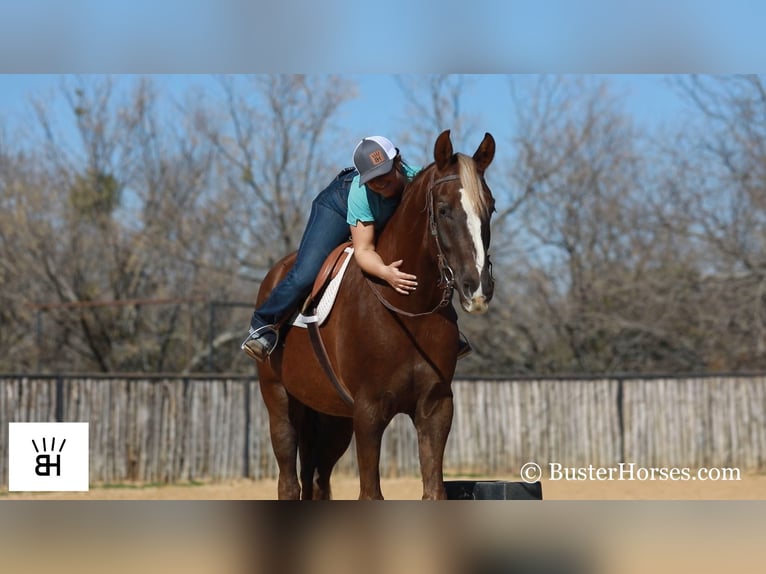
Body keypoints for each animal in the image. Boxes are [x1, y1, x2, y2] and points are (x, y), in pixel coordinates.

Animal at [258, 130, 498, 500]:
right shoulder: (369, 412)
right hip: (280, 403)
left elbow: (434, 488)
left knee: (317, 480)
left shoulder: (436, 407)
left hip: (333, 419)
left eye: (491, 207)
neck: (410, 312)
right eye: (444, 210)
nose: (478, 288)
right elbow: (370, 492)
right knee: (288, 482)